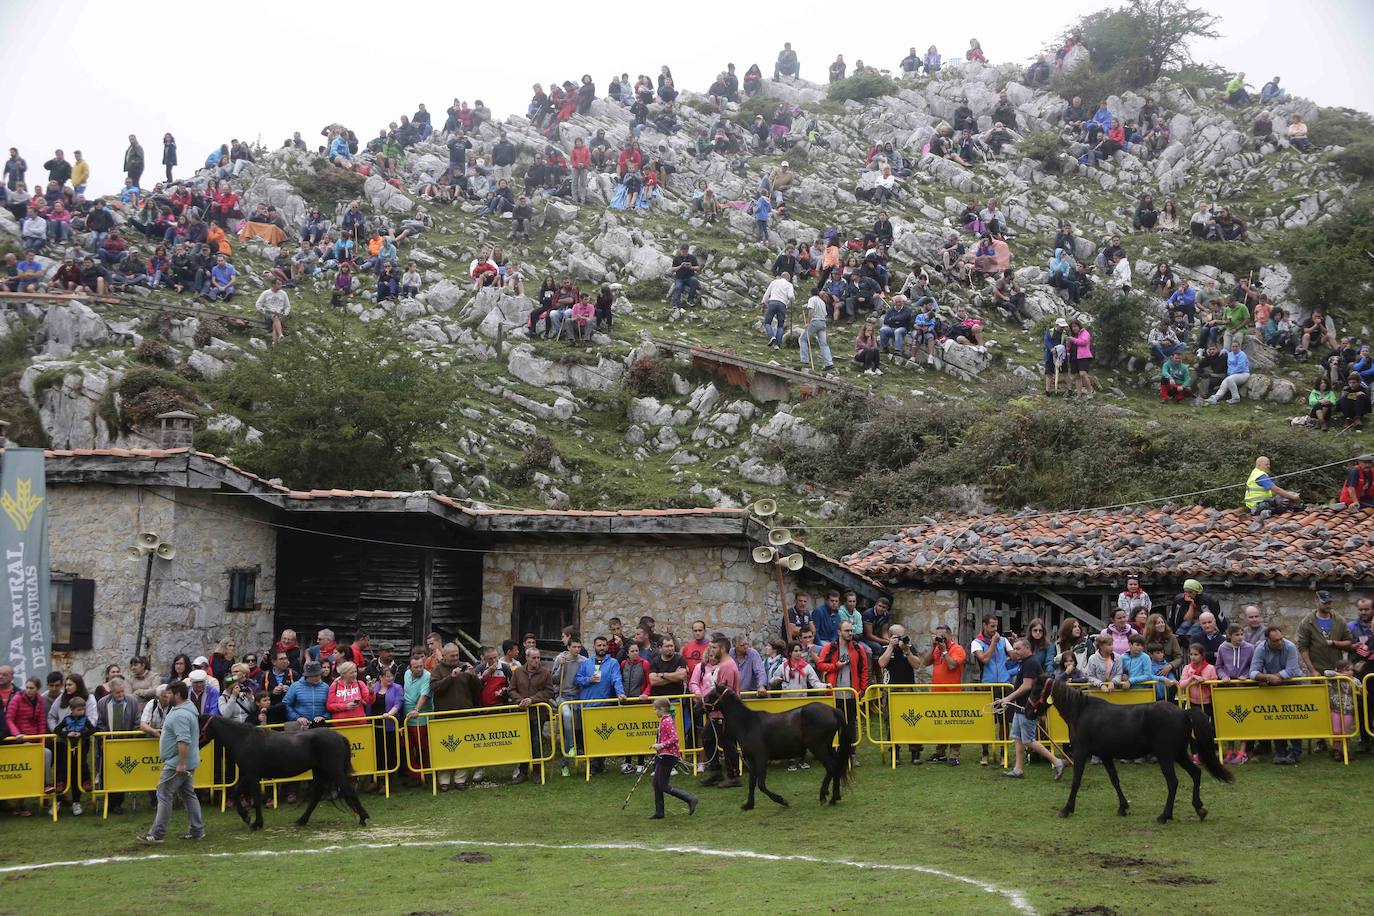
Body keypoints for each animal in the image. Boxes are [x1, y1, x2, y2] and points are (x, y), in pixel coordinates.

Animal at [200, 719, 368, 834]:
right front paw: (246, 817)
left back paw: (363, 817)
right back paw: (301, 820)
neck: (244, 739)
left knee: (348, 790)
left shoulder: (252, 775)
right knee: (317, 795)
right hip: (320, 771)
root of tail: (340, 737)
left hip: (333, 770)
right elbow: (235, 793)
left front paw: (255, 822)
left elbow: (255, 800)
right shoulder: (247, 775)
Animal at [703, 686, 851, 807]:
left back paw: (823, 795)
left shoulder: (761, 757)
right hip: (828, 747)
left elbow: (761, 784)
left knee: (831, 766)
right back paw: (834, 797)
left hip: (818, 748)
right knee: (837, 765)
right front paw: (748, 805)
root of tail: (832, 710)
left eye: (710, 694)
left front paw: (782, 800)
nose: (699, 705)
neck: (748, 724)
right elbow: (752, 782)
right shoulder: (751, 758)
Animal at [1049, 681, 1236, 823]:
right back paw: (1199, 809)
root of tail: (1183, 712)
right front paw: (1123, 807)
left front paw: (1066, 809)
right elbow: (1115, 780)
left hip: (1166, 755)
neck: (1081, 712)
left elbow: (1076, 781)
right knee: (1196, 773)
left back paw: (1164, 815)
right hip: (1179, 754)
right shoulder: (1105, 755)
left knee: (1173, 782)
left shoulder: (1080, 752)